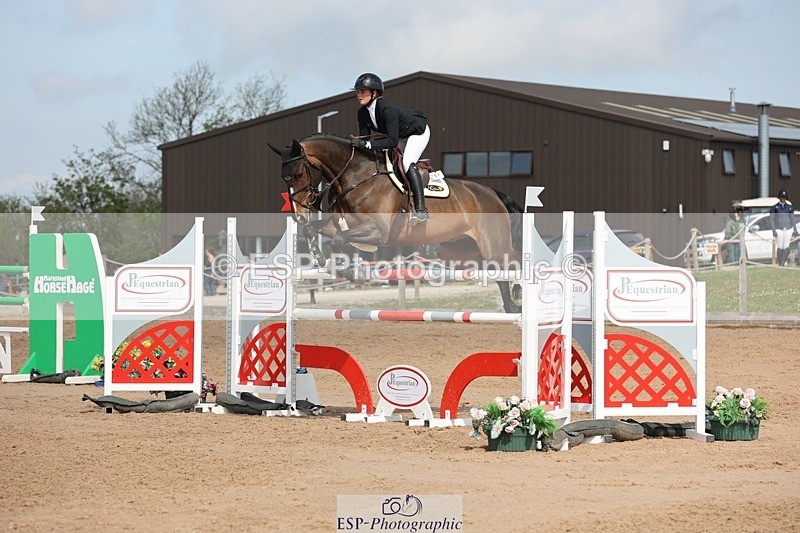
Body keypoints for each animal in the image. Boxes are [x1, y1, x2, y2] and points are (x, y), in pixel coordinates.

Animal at [268, 133, 523, 312]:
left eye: (299, 173)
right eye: (283, 177)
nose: (299, 214)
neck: (356, 176)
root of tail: (493, 194)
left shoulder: (379, 231)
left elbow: (341, 240)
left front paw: (353, 274)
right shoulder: (339, 223)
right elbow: (314, 230)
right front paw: (323, 261)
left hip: (493, 247)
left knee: (515, 261)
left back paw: (519, 295)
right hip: (462, 253)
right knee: (500, 276)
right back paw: (511, 307)